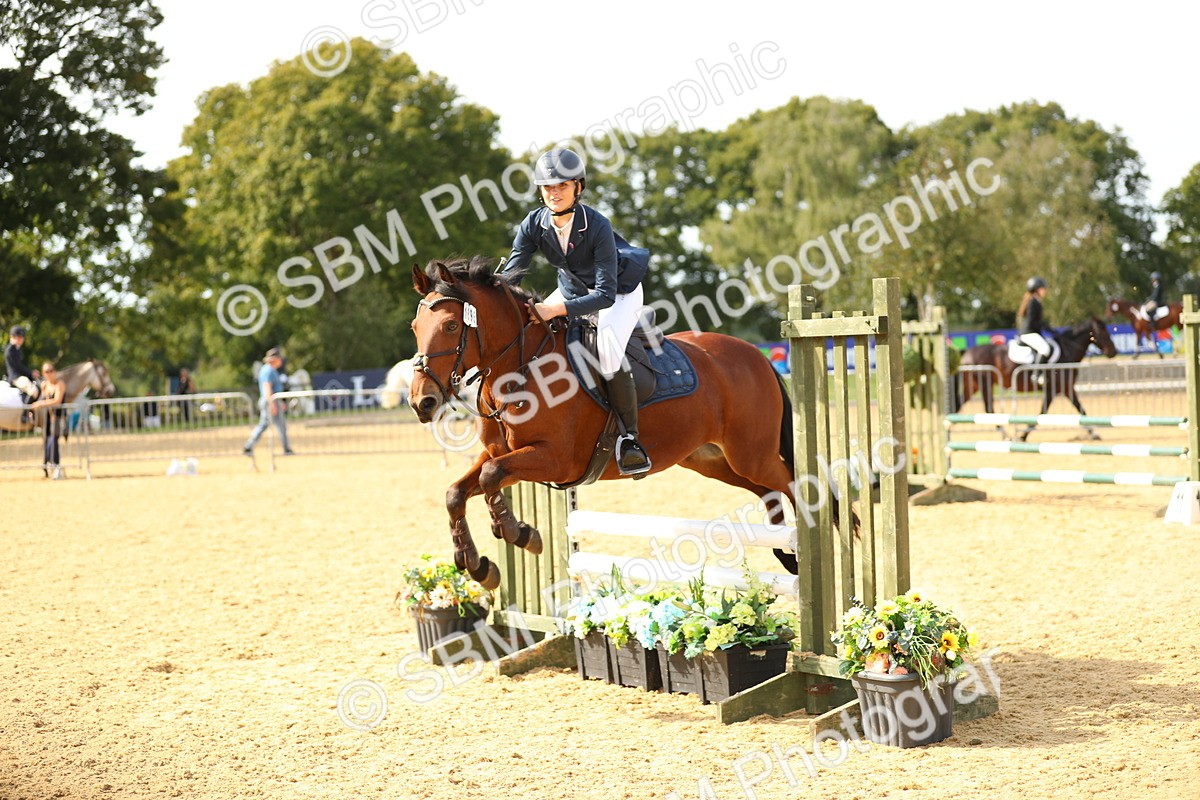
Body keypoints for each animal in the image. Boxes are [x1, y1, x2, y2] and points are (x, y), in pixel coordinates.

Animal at [408, 257, 805, 590]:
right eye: (415, 327)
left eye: (451, 325)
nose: (421, 402)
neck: (523, 367)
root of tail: (756, 355)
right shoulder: (501, 453)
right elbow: (457, 492)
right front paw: (478, 565)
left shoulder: (556, 460)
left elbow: (490, 477)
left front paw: (519, 533)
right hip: (713, 460)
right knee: (768, 492)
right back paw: (788, 553)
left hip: (750, 455)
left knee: (794, 485)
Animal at [954, 318, 1118, 441]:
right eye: (1103, 331)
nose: (1114, 352)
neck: (1067, 351)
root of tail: (967, 352)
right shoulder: (1054, 389)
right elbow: (1043, 411)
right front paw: (1023, 436)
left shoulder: (1067, 388)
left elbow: (1081, 409)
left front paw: (1094, 433)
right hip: (983, 383)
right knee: (988, 409)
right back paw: (1006, 435)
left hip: (973, 385)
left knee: (960, 404)